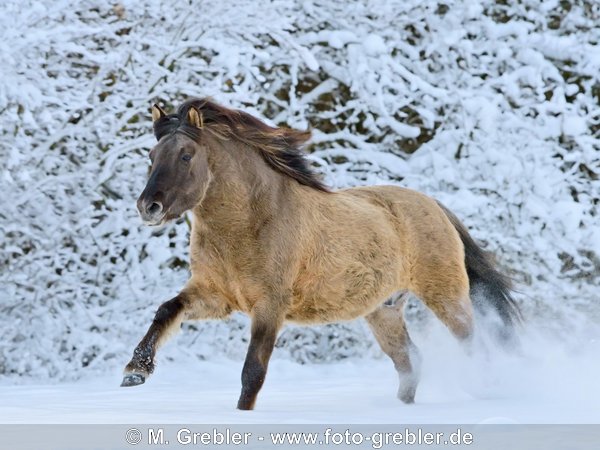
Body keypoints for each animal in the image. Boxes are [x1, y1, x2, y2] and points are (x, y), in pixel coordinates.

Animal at [122, 98, 520, 412]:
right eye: (152, 155)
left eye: (186, 155)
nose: (148, 207)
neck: (249, 223)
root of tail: (434, 205)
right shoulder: (216, 295)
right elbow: (167, 310)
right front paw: (135, 371)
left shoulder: (270, 305)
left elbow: (253, 373)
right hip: (384, 310)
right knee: (410, 360)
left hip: (446, 297)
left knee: (472, 344)